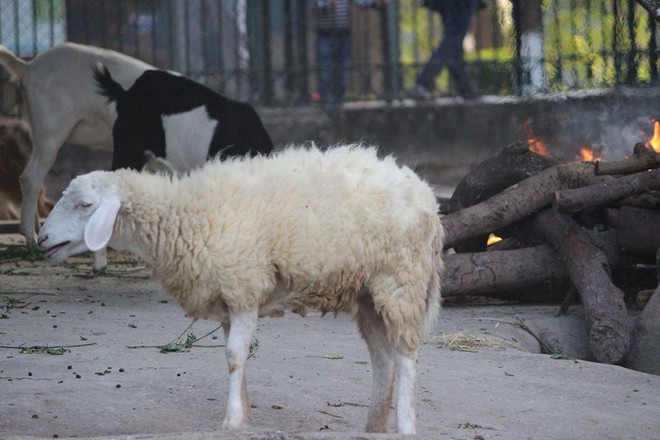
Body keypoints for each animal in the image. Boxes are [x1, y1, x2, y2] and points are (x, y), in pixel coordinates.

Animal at [38, 144, 446, 434]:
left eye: (85, 205)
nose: (41, 239)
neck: (185, 215)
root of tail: (426, 194)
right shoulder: (226, 300)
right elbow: (234, 357)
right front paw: (246, 417)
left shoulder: (245, 287)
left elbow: (235, 356)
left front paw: (232, 420)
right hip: (368, 294)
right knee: (383, 359)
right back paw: (374, 426)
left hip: (401, 282)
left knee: (406, 356)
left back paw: (405, 425)